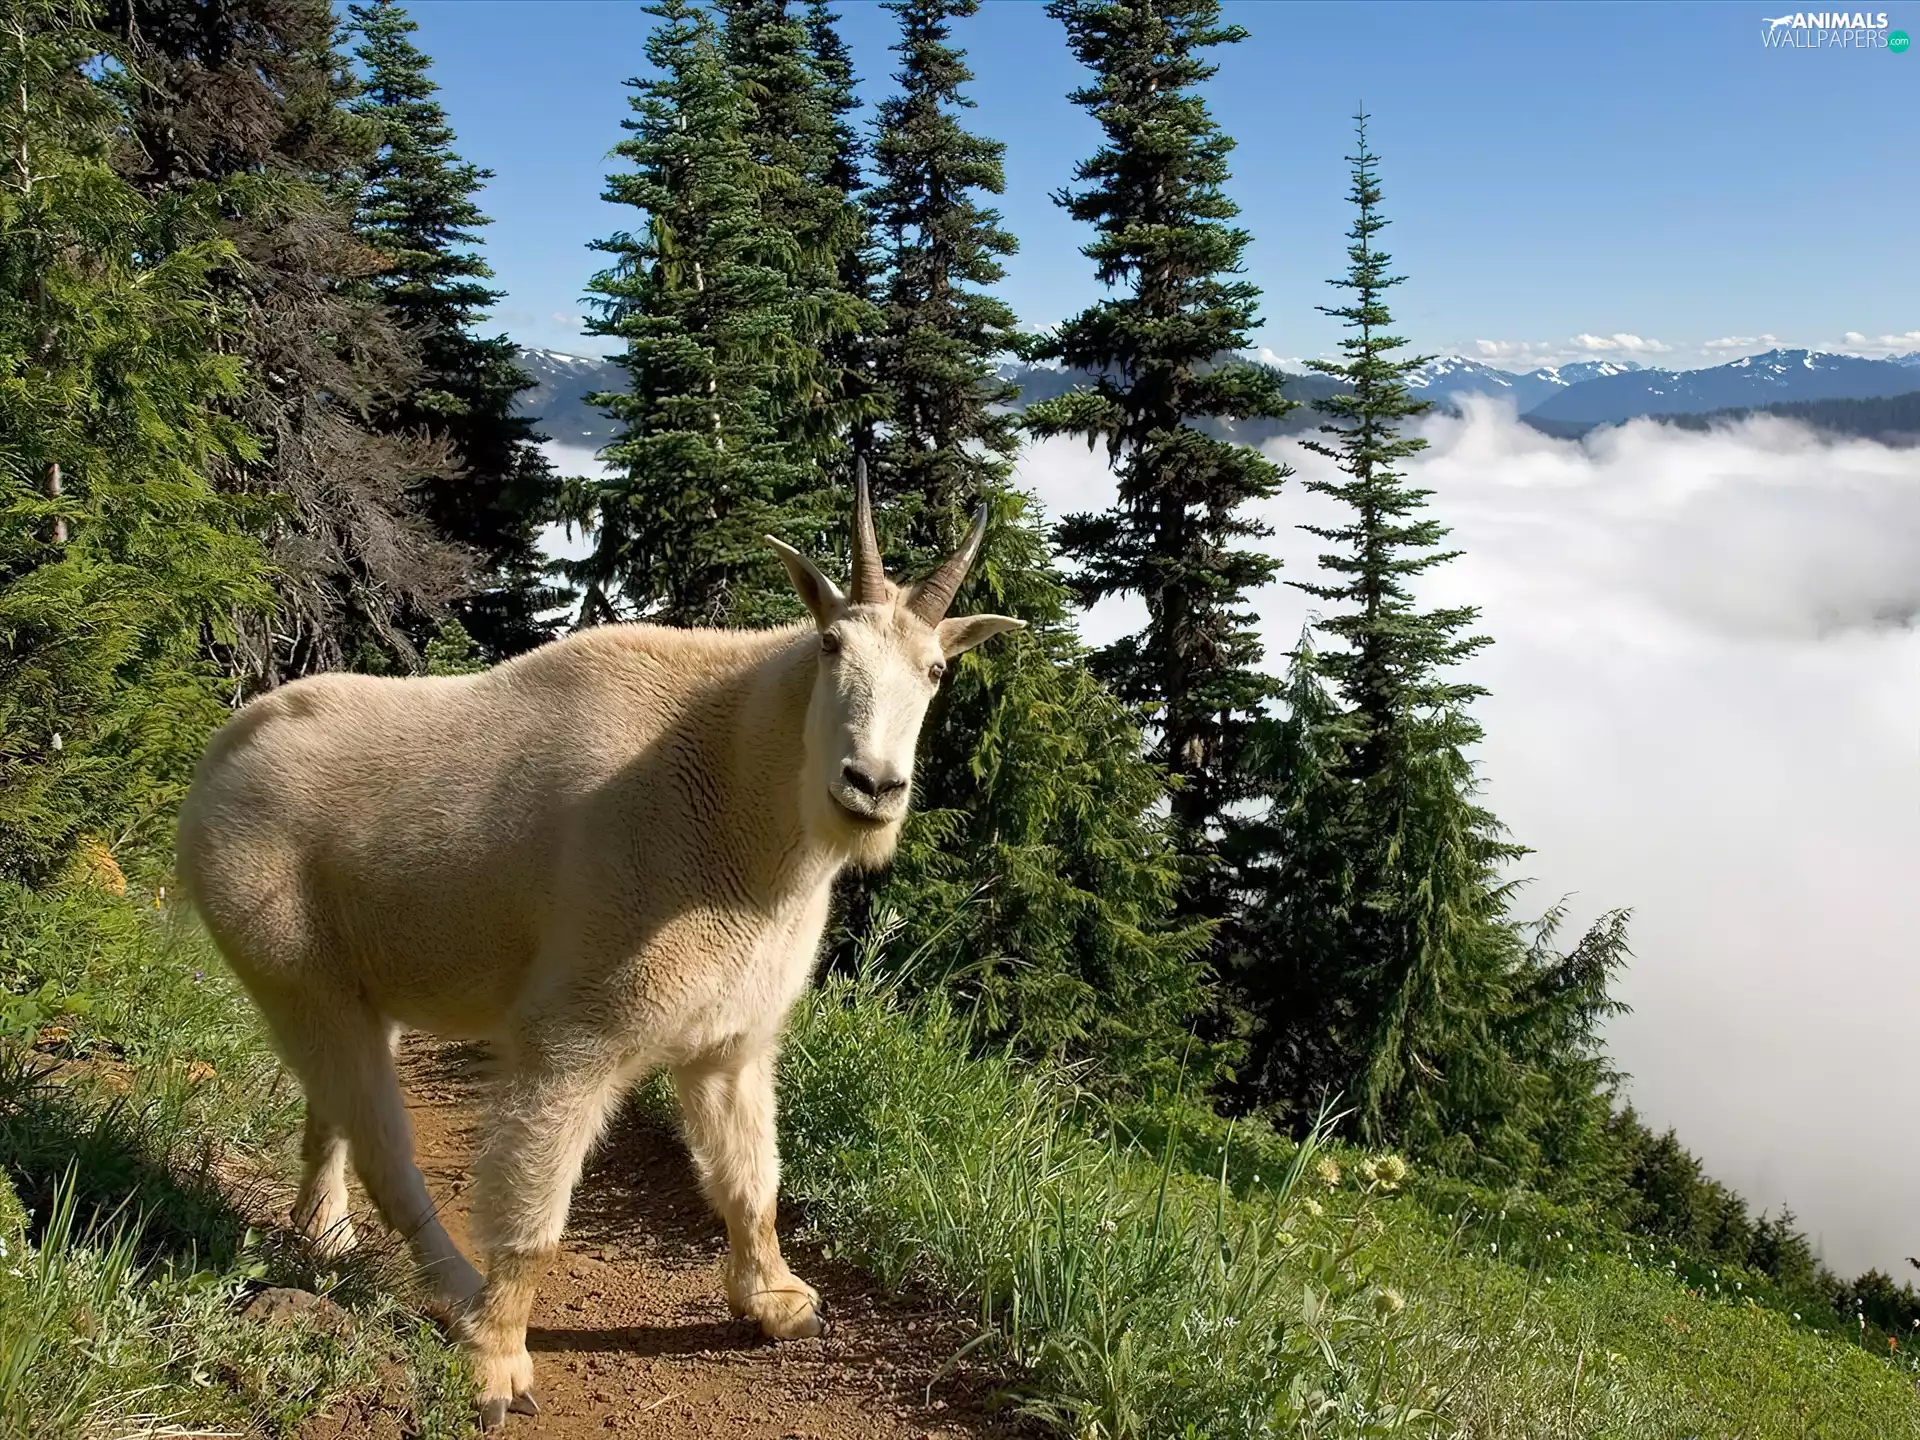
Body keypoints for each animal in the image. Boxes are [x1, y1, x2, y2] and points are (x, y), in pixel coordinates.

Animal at [175, 471, 1022, 1427]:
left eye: (937, 670)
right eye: (831, 644)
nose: (872, 786)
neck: (746, 798)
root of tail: (220, 755)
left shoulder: (730, 1042)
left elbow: (753, 1183)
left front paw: (778, 1303)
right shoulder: (575, 1036)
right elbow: (535, 1219)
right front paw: (496, 1366)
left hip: (363, 978)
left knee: (334, 1109)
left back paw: (323, 1233)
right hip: (289, 967)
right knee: (384, 1144)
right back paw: (454, 1295)